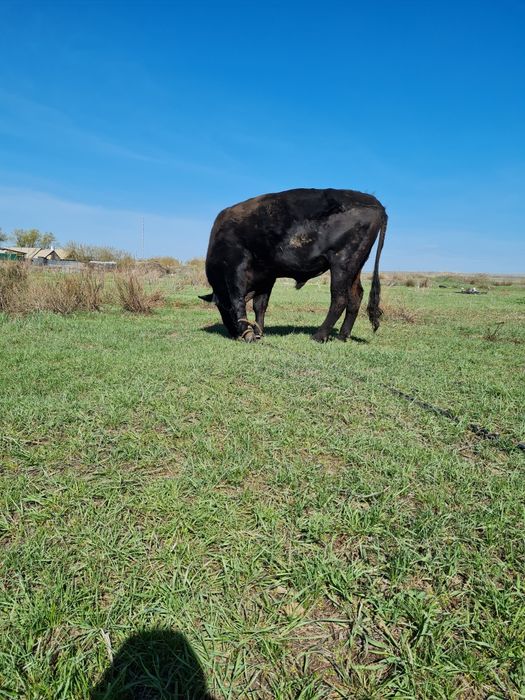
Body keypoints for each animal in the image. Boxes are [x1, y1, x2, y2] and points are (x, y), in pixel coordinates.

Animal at [199, 188, 387, 342]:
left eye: (222, 306)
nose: (232, 333)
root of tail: (374, 201)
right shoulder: (267, 276)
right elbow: (260, 305)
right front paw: (259, 332)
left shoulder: (236, 269)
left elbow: (238, 301)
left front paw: (249, 335)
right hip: (355, 266)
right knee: (356, 296)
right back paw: (342, 336)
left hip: (341, 263)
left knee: (340, 299)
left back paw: (319, 336)